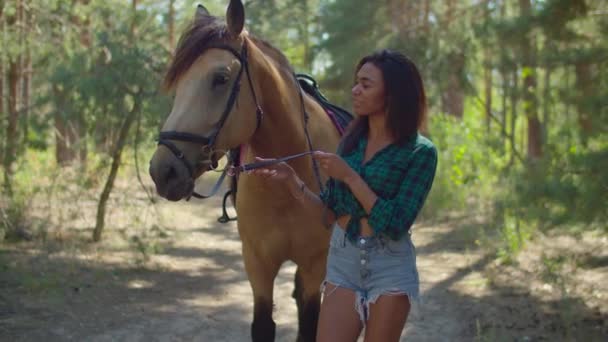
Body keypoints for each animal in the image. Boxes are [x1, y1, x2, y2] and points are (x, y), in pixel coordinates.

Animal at [148, 1, 342, 340]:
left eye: (221, 78)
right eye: (179, 83)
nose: (163, 171)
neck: (288, 183)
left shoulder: (315, 263)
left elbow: (310, 324)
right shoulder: (257, 263)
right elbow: (263, 325)